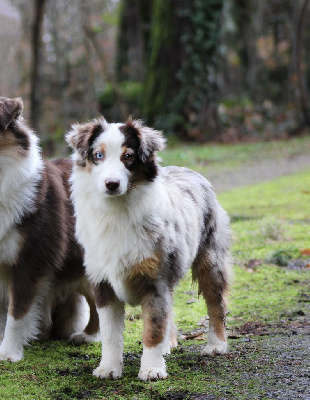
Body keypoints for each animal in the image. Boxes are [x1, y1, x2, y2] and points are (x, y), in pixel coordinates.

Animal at [68, 116, 231, 382]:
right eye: (98, 155)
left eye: (128, 156)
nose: (112, 184)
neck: (118, 210)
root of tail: (191, 171)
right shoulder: (103, 283)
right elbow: (110, 334)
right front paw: (108, 368)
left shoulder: (156, 280)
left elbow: (153, 327)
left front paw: (152, 369)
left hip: (211, 259)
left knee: (216, 303)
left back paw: (216, 345)